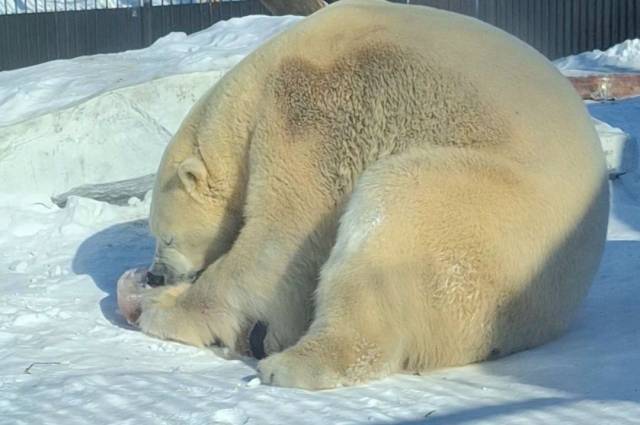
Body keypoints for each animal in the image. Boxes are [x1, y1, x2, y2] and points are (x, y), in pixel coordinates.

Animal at [134, 0, 604, 388]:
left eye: (167, 237)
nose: (156, 274)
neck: (254, 89)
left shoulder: (312, 111)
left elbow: (281, 239)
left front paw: (161, 309)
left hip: (498, 217)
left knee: (393, 208)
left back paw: (290, 364)